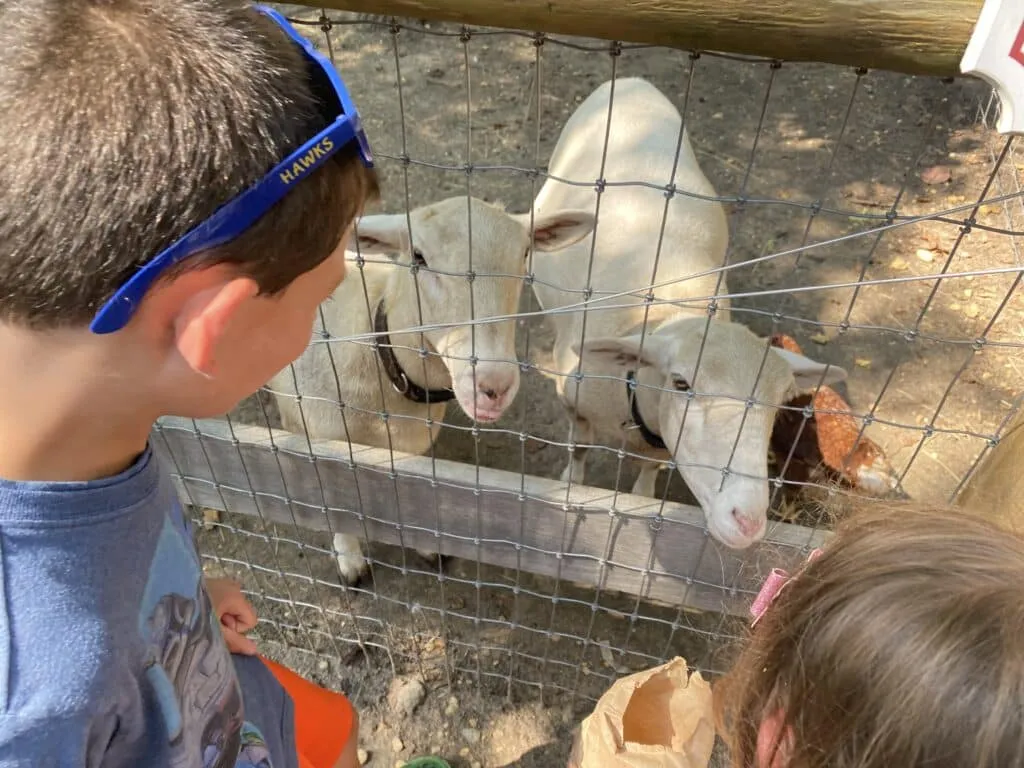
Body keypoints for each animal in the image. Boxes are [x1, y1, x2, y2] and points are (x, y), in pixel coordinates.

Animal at [268, 195, 598, 581]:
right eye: (419, 256)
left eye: (526, 252)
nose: (494, 384)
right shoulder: (314, 439)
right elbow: (332, 502)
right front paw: (350, 559)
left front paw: (425, 544)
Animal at [528, 76, 847, 548]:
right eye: (681, 382)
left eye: (779, 401)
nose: (748, 521)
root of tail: (631, 81)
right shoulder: (574, 402)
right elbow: (580, 448)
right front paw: (571, 483)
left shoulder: (658, 442)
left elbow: (648, 472)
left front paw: (643, 494)